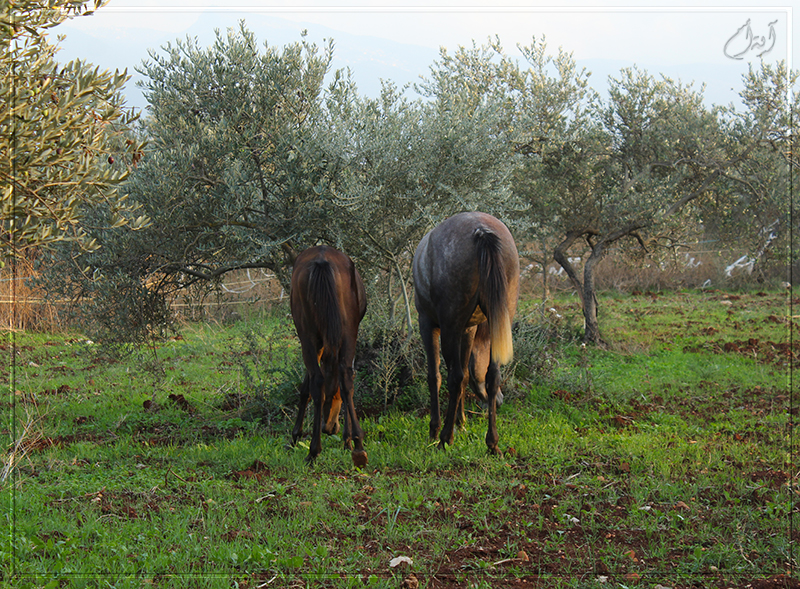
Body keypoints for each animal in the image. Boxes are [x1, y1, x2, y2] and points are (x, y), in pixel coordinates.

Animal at [412, 212, 520, 454]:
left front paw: (436, 429)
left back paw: (445, 438)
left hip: (449, 326)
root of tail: (481, 230)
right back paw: (492, 442)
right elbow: (468, 376)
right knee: (491, 376)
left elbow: (436, 376)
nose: (500, 401)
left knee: (455, 377)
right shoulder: (469, 329)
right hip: (497, 319)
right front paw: (461, 423)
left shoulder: (429, 324)